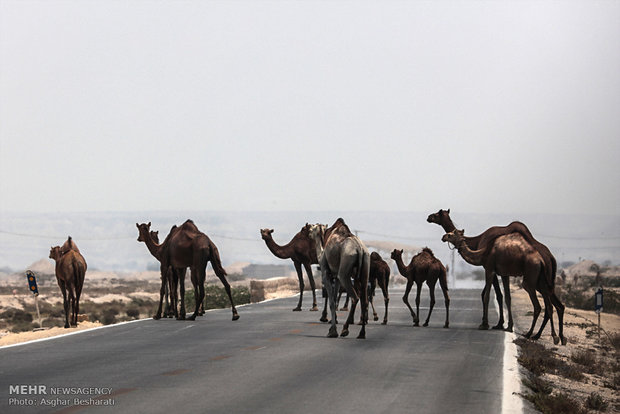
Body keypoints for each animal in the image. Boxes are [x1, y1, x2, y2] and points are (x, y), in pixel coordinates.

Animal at [440, 228, 568, 344]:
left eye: (451, 234)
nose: (443, 237)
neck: (484, 253)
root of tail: (541, 260)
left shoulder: (489, 269)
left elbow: (486, 296)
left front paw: (484, 325)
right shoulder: (504, 274)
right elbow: (507, 298)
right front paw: (509, 326)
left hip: (530, 276)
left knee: (537, 305)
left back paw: (530, 334)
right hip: (540, 279)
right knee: (549, 304)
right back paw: (553, 337)